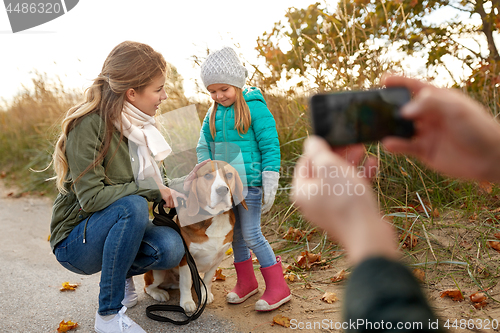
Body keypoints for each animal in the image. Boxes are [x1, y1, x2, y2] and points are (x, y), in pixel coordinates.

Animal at [144, 160, 247, 312]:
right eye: (208, 176)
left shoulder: (218, 258)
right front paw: (187, 302)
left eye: (229, 175)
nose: (222, 190)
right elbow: (186, 282)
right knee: (147, 287)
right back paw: (159, 293)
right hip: (157, 273)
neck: (214, 218)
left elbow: (208, 279)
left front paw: (205, 294)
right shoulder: (186, 260)